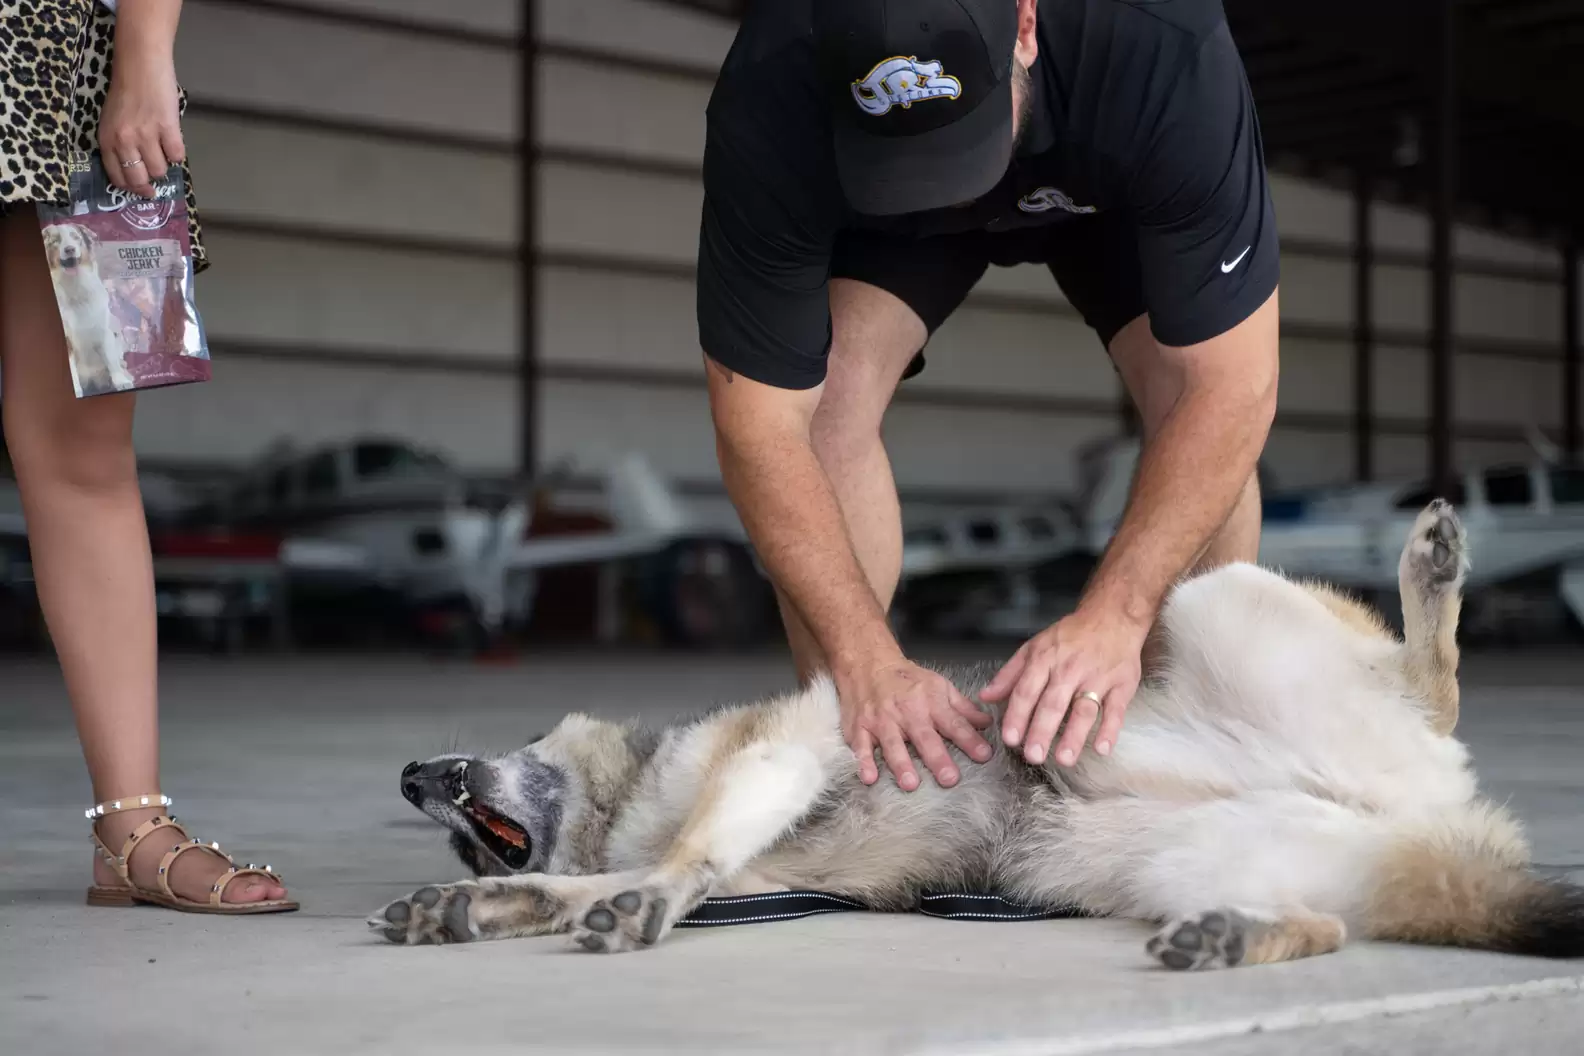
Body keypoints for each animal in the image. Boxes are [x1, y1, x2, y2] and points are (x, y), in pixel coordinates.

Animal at [42, 223, 131, 395]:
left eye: (76, 237)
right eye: (56, 241)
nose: (69, 249)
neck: (74, 289)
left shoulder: (104, 329)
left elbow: (111, 360)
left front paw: (121, 381)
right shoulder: (68, 341)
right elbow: (72, 371)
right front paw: (77, 391)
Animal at [373, 503, 1584, 975]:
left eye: (455, 810)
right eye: (461, 843)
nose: (411, 772)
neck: (626, 797)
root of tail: (1424, 809)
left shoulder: (776, 753)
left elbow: (682, 859)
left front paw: (644, 897)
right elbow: (595, 885)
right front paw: (492, 908)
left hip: (1210, 595)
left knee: (1436, 686)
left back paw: (1434, 587)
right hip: (1218, 855)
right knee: (1330, 925)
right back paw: (1236, 939)